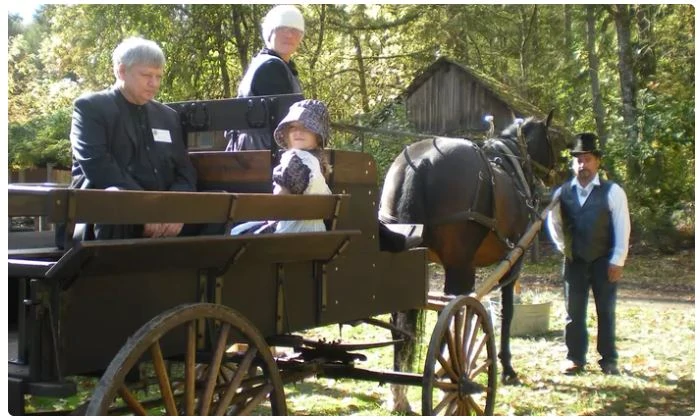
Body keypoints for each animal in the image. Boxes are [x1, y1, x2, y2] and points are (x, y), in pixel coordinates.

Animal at [380, 111, 556, 414]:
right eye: (549, 139)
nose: (555, 171)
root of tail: (420, 162)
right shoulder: (514, 261)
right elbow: (505, 313)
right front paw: (507, 368)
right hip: (460, 268)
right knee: (455, 316)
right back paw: (452, 378)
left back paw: (400, 392)